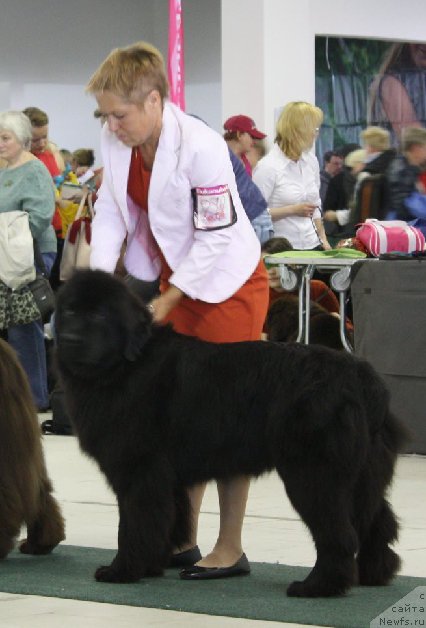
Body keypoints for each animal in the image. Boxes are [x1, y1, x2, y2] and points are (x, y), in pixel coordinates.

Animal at [55, 270, 406, 600]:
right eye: (70, 311)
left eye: (99, 315)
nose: (69, 339)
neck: (126, 365)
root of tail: (361, 376)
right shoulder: (167, 478)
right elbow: (167, 520)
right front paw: (153, 565)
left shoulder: (139, 471)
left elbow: (133, 524)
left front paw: (122, 570)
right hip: (362, 475)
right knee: (377, 521)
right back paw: (372, 574)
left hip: (314, 475)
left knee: (340, 534)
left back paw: (318, 586)